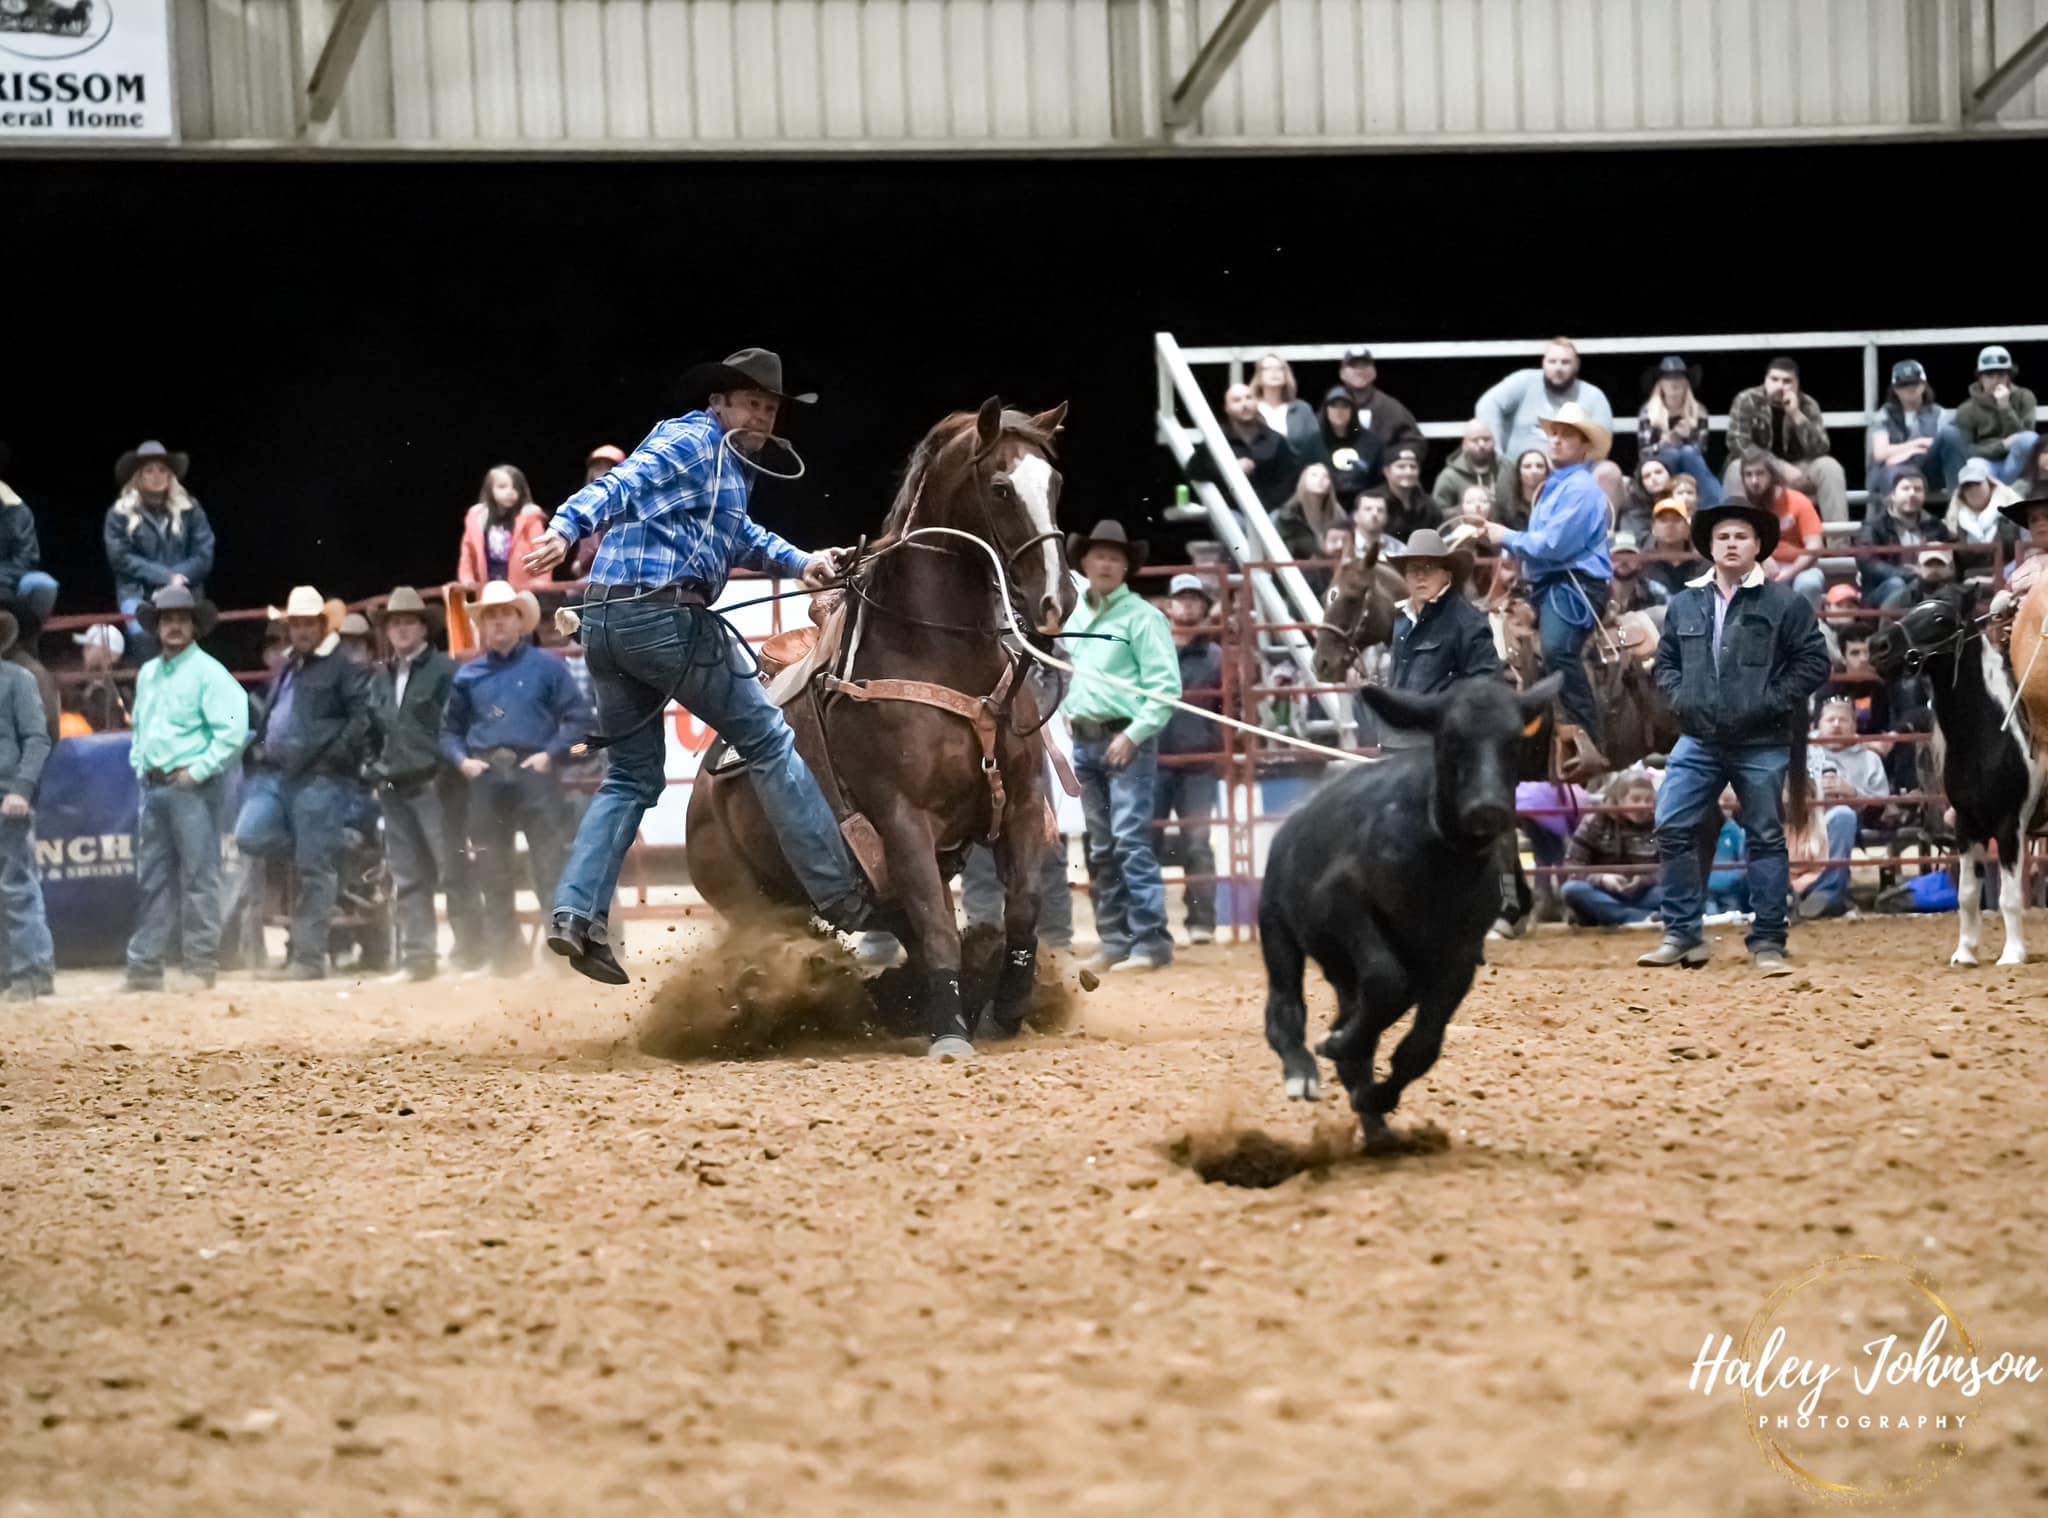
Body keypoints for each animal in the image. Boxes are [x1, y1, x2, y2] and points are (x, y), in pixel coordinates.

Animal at [684, 399, 1081, 1057]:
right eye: (1000, 488)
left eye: (1055, 484)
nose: (1057, 600)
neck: (939, 654)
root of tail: (699, 793)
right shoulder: (902, 820)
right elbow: (940, 927)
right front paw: (951, 1035)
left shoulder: (1023, 804)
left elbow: (1023, 908)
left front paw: (1005, 1009)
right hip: (751, 900)